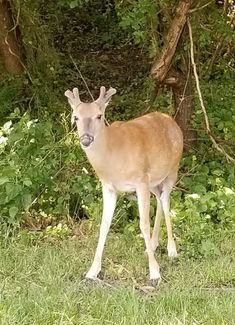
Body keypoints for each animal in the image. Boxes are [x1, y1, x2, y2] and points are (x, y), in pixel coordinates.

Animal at [64, 86, 184, 280]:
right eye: (76, 117)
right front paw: (92, 271)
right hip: (153, 181)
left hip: (173, 169)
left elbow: (143, 224)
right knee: (159, 199)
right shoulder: (108, 186)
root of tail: (171, 120)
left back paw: (171, 250)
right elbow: (104, 225)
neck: (113, 155)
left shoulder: (140, 181)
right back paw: (152, 245)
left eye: (99, 116)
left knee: (166, 201)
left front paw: (154, 272)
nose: (86, 139)